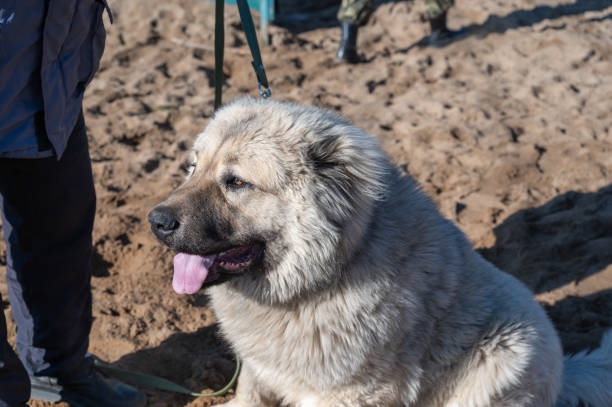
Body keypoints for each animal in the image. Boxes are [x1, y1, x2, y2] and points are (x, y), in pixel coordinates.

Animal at [149, 97, 612, 406]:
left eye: (237, 182)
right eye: (193, 168)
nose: (156, 221)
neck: (328, 271)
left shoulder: (351, 393)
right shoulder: (260, 368)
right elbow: (249, 394)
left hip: (503, 355)